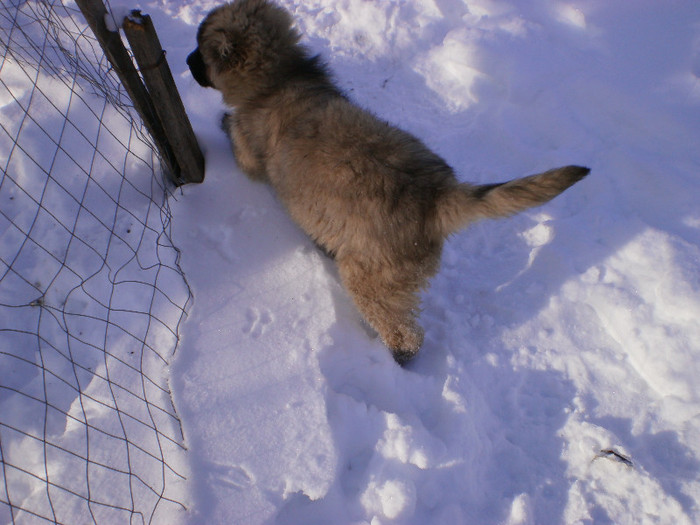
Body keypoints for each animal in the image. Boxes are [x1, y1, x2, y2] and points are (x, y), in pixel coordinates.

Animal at [185, 0, 584, 362]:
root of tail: (436, 193)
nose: (186, 63)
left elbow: (238, 142)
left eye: (200, 50)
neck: (281, 77)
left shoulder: (249, 151)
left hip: (371, 277)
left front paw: (221, 121)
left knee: (402, 330)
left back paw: (394, 355)